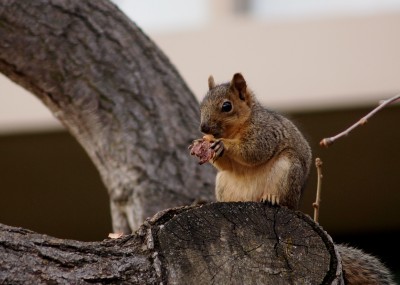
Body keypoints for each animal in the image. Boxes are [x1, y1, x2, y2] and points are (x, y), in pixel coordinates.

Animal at [192, 72, 396, 282]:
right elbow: (228, 165)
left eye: (227, 106)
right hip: (223, 182)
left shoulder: (265, 131)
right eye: (202, 105)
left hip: (288, 169)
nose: (203, 128)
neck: (236, 128)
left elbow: (254, 150)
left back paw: (271, 198)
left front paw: (223, 144)